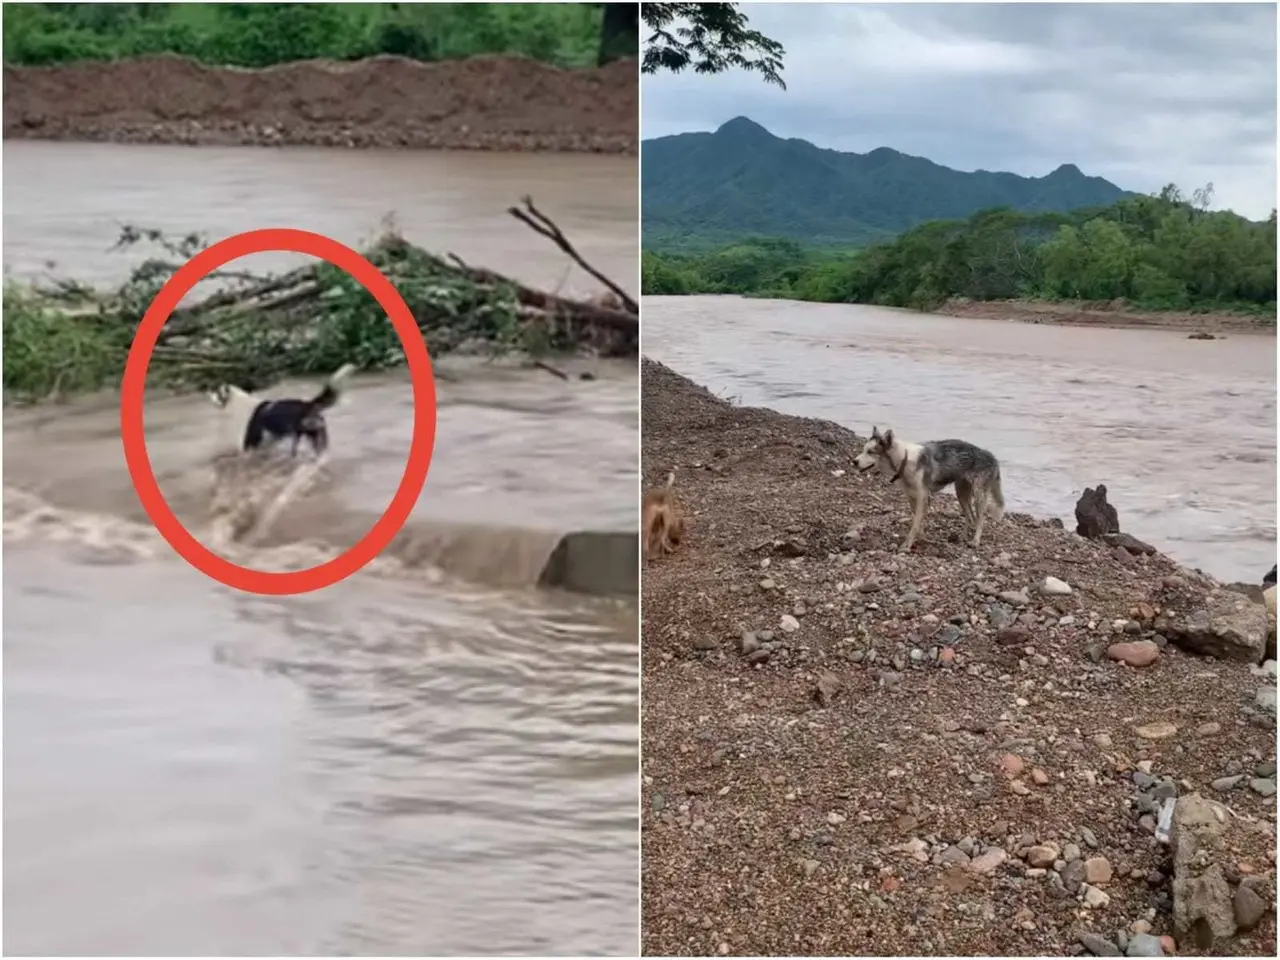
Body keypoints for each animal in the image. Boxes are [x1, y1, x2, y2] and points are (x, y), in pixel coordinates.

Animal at [855, 424, 1003, 552]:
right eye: (864, 450)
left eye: (870, 452)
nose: (853, 461)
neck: (904, 460)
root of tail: (993, 457)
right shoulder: (911, 496)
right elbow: (918, 522)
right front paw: (922, 538)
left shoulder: (922, 497)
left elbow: (915, 524)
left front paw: (907, 545)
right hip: (961, 493)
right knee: (971, 517)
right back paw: (962, 537)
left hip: (979, 495)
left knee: (980, 519)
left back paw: (975, 541)